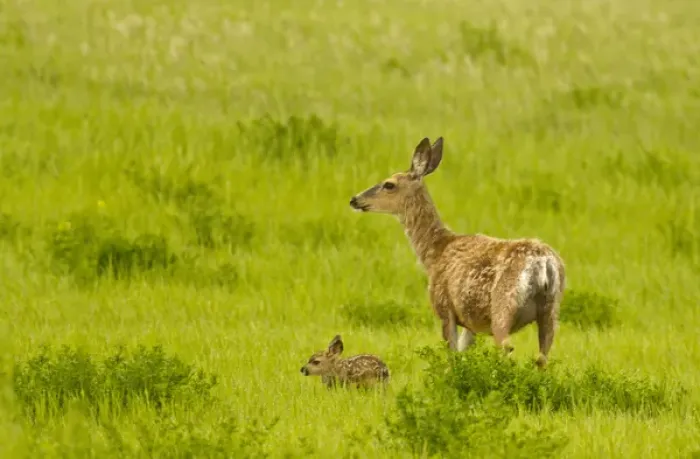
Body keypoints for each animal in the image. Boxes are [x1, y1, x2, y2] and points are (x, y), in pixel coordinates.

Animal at [349, 137, 566, 368]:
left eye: (389, 184)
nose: (354, 199)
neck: (435, 253)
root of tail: (543, 262)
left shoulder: (445, 308)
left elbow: (452, 354)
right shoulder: (472, 322)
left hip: (503, 305)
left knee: (507, 346)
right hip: (551, 309)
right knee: (542, 355)